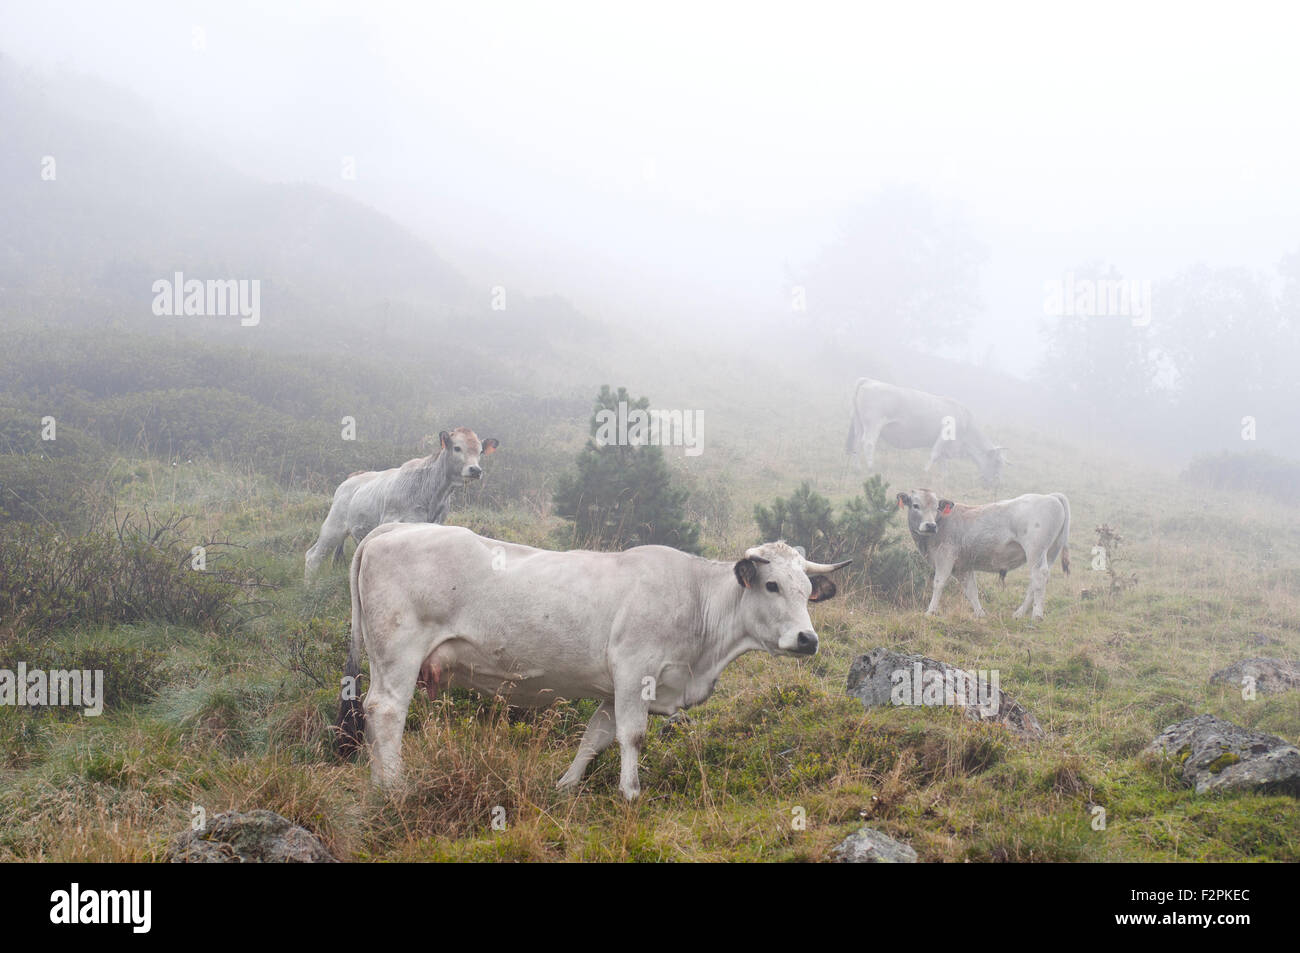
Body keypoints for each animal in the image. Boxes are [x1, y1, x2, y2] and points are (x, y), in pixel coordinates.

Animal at [304, 427, 498, 580]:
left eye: (480, 451)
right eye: (457, 447)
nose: (475, 470)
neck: (432, 493)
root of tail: (351, 478)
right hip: (333, 526)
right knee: (313, 557)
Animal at [335, 525, 851, 800]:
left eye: (808, 590)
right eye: (772, 586)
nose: (808, 639)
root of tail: (393, 528)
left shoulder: (614, 688)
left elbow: (595, 737)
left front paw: (565, 786)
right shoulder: (635, 672)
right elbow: (632, 735)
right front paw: (631, 792)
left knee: (374, 712)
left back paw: (379, 783)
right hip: (399, 652)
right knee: (386, 711)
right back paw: (394, 787)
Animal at [845, 377, 1006, 485]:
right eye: (998, 462)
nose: (997, 483)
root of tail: (868, 380)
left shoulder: (947, 445)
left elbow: (943, 461)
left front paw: (944, 477)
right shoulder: (944, 437)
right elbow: (934, 455)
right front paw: (925, 471)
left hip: (859, 424)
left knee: (856, 444)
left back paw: (857, 468)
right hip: (873, 425)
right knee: (868, 443)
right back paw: (870, 467)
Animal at [896, 488, 1071, 621]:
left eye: (936, 508)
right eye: (915, 505)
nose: (930, 525)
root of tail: (1050, 496)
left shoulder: (945, 556)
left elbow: (939, 583)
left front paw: (930, 612)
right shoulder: (963, 567)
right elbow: (971, 590)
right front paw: (980, 614)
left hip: (1035, 550)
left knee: (1039, 577)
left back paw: (1036, 615)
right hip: (1050, 552)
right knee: (1035, 582)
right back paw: (1019, 613)